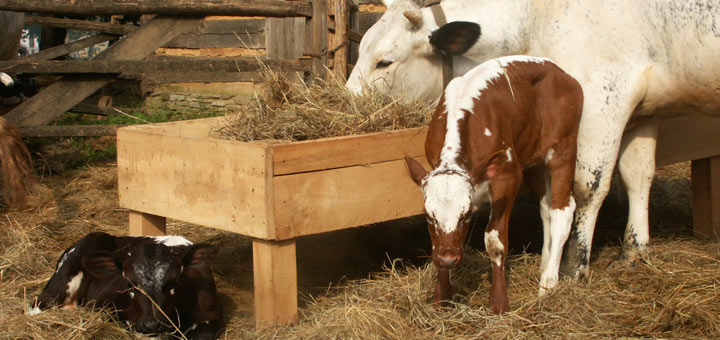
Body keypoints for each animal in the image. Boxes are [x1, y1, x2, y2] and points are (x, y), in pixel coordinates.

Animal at [348, 0, 720, 280]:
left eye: (385, 61)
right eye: (361, 48)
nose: (345, 97)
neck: (537, 18)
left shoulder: (601, 99)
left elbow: (586, 188)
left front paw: (573, 267)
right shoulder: (643, 111)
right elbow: (638, 175)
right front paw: (633, 251)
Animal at [404, 55, 584, 314]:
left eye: (466, 215)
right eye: (429, 217)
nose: (449, 259)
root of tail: (557, 70)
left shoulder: (507, 177)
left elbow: (495, 241)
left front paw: (499, 303)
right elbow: (437, 245)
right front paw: (442, 298)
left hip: (563, 149)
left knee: (563, 210)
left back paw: (548, 283)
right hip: (533, 160)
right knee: (546, 208)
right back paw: (545, 264)